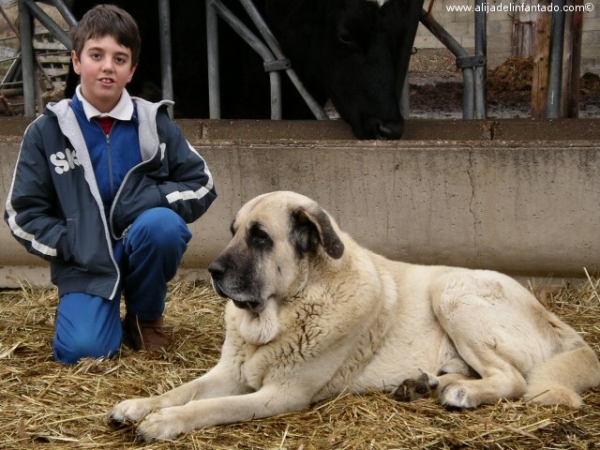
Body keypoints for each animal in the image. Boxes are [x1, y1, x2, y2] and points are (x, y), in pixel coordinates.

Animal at [108, 191, 600, 442]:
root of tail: (557, 321)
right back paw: (424, 383)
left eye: (260, 237)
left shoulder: (280, 394)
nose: (212, 271)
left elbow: (211, 406)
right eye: (233, 233)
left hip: (452, 293)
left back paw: (460, 393)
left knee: (512, 378)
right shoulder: (230, 371)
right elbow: (183, 390)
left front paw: (164, 422)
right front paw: (139, 405)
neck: (288, 309)